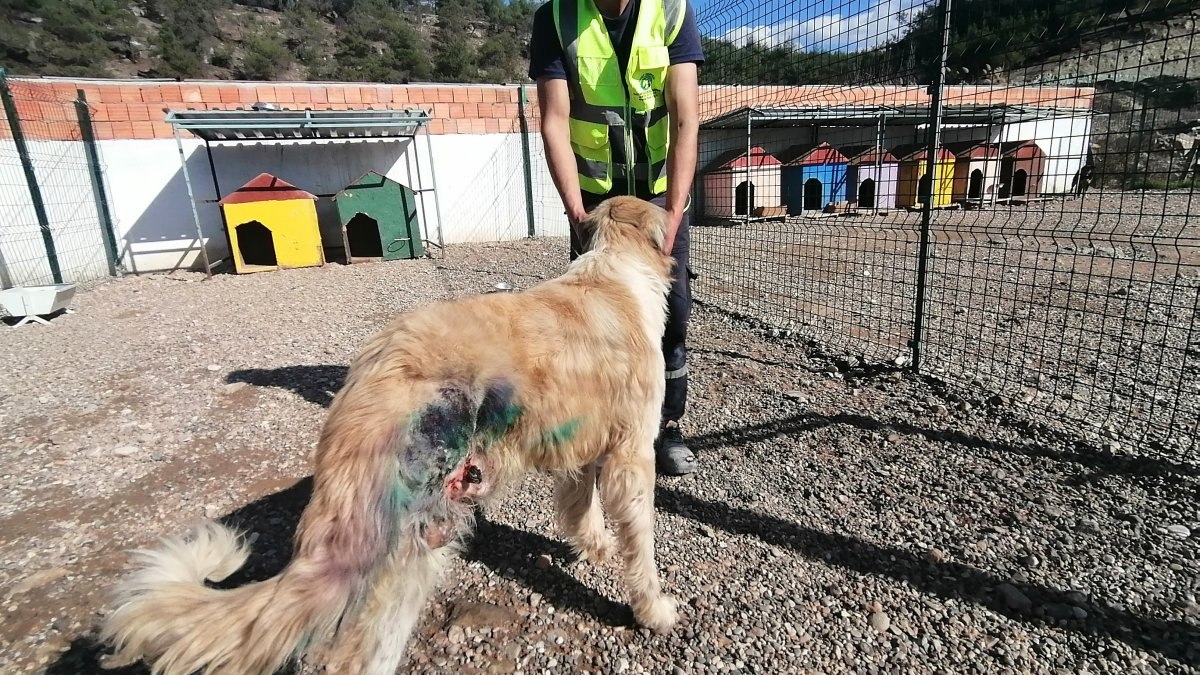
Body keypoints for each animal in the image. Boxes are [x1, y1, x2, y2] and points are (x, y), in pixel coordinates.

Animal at [100, 194, 686, 672]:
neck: (614, 275)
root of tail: (373, 369)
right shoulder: (632, 456)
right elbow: (641, 546)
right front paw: (652, 610)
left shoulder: (582, 453)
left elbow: (583, 511)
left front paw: (595, 548)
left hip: (417, 541)